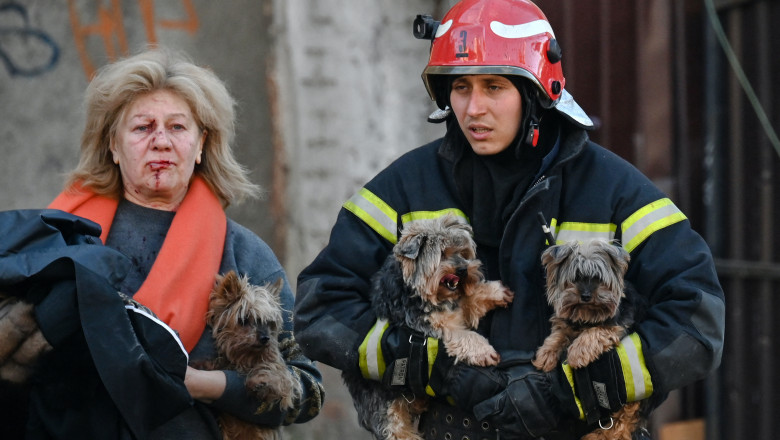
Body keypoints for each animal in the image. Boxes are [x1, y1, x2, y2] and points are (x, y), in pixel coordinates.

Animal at [344, 215, 516, 440]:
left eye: (462, 253)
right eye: (442, 254)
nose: (463, 270)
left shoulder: (455, 305)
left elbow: (468, 299)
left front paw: (493, 293)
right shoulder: (428, 326)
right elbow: (463, 335)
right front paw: (483, 351)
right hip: (385, 406)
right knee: (396, 427)